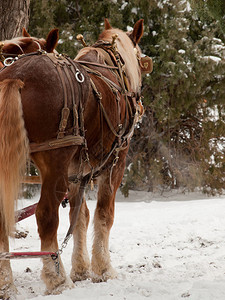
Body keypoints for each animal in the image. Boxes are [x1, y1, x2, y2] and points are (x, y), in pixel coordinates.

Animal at [0, 19, 151, 298]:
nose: (140, 105)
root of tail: (16, 75)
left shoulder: (76, 169)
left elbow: (79, 215)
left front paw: (81, 269)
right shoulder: (116, 162)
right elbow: (104, 214)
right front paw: (102, 269)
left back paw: (7, 283)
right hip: (55, 161)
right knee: (46, 215)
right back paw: (57, 279)